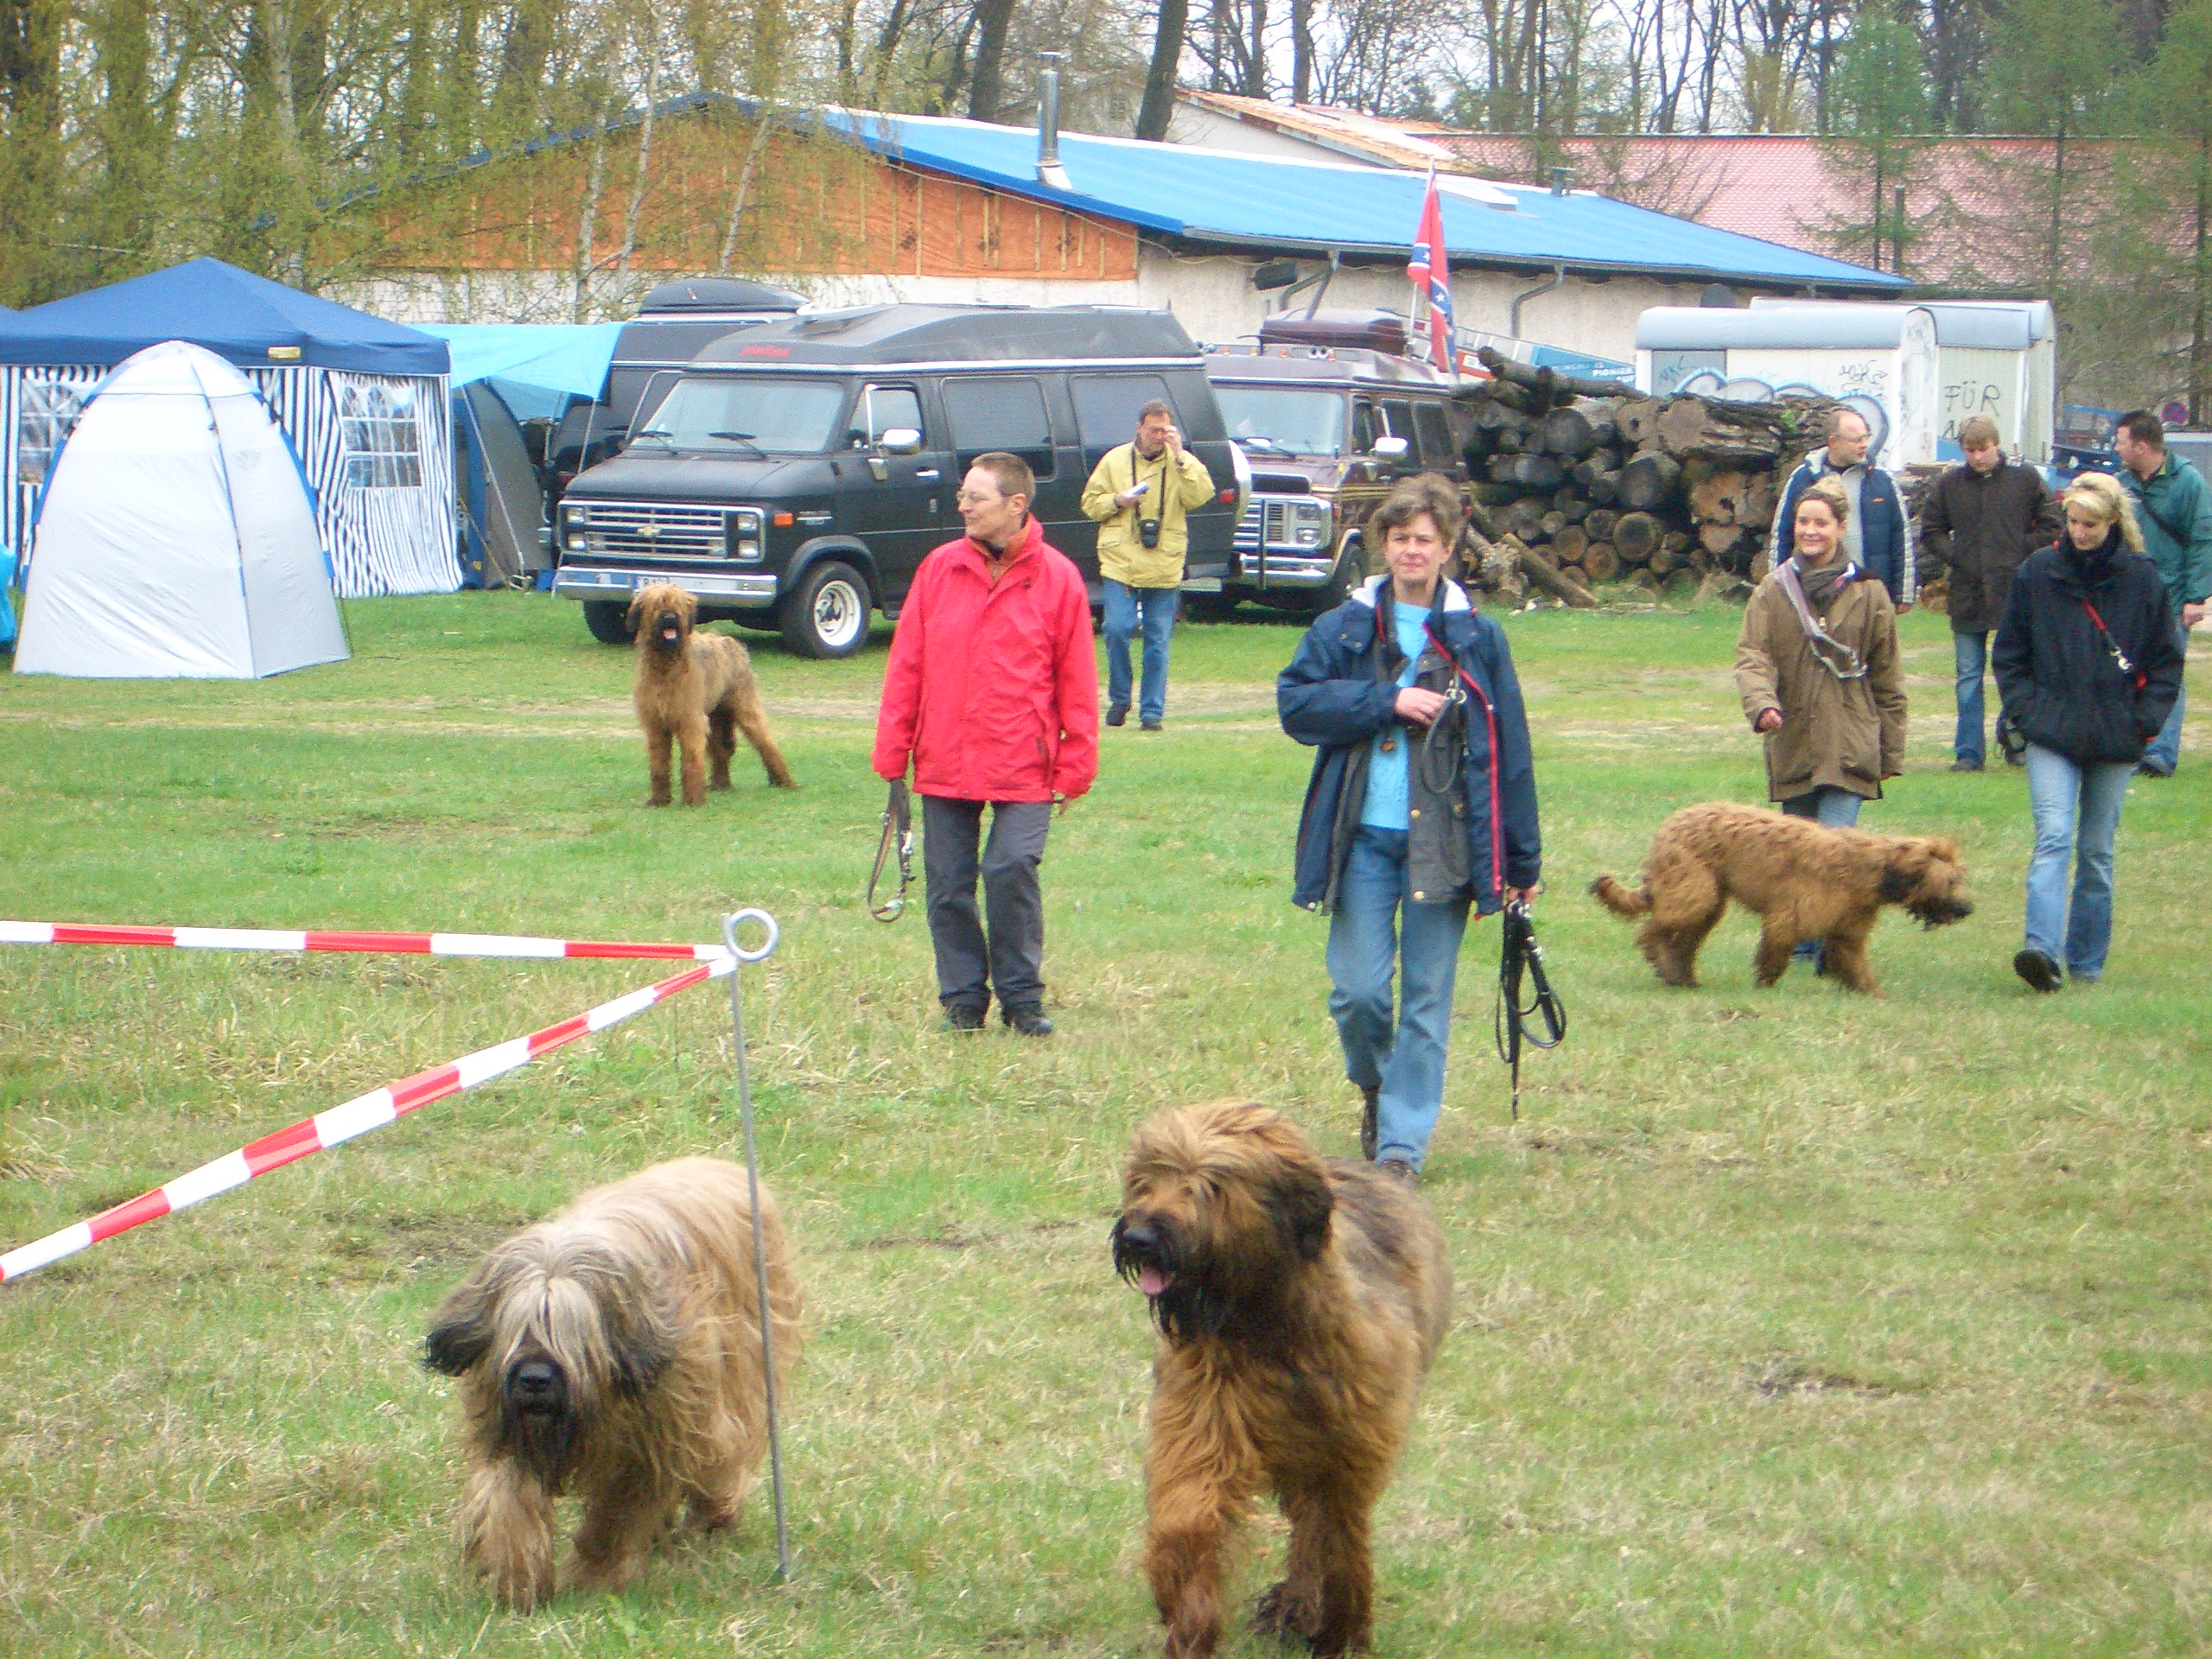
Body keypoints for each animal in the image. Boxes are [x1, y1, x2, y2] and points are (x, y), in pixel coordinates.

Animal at [423, 1157, 802, 1610]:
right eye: (519, 1329)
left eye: (573, 1332)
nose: (535, 1380)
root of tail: (720, 1165)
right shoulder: (507, 1422)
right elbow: (507, 1497)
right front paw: (518, 1578)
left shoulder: (658, 1432)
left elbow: (619, 1511)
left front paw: (595, 1579)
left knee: (724, 1453)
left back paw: (714, 1516)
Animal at [628, 583, 795, 805]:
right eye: (657, 603)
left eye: (677, 603)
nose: (670, 618)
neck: (666, 665)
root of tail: (734, 643)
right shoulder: (656, 724)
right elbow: (659, 764)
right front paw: (659, 800)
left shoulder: (690, 720)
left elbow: (692, 759)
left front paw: (693, 800)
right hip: (716, 716)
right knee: (721, 749)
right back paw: (720, 783)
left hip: (744, 707)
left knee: (766, 742)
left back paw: (784, 782)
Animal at [1112, 1101, 1452, 1658]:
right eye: (1147, 1179)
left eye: (1211, 1185)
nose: (1140, 1238)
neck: (1267, 1322)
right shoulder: (1205, 1420)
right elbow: (1188, 1517)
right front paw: (1187, 1615)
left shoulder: (1346, 1451)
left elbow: (1334, 1538)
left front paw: (1340, 1626)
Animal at [1591, 801, 1973, 994]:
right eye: (1951, 880)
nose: (1968, 909)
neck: (1866, 867)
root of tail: (1669, 824)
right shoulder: (1790, 916)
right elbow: (1774, 951)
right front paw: (1766, 984)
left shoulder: (1846, 932)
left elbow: (1855, 964)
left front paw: (1871, 994)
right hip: (1694, 891)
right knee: (1654, 931)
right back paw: (1664, 965)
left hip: (1708, 901)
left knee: (1681, 941)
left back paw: (1683, 978)